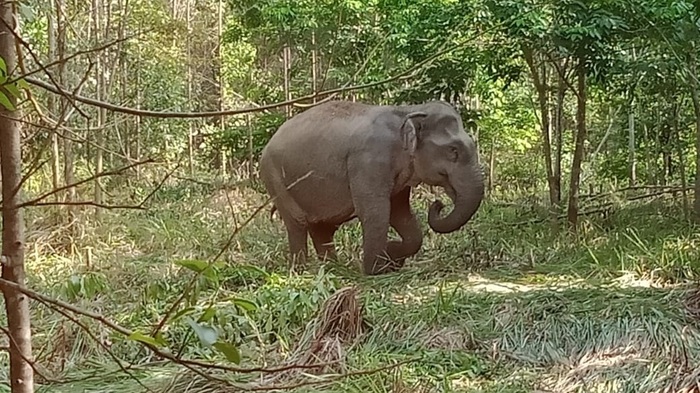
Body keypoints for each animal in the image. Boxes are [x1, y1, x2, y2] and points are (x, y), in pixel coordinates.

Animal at [260, 99, 484, 274]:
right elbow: (376, 211)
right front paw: (376, 270)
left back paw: (333, 270)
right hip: (275, 178)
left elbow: (400, 213)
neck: (408, 111)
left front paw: (392, 256)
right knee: (297, 223)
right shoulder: (368, 160)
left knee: (322, 228)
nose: (438, 204)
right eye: (453, 150)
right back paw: (300, 272)